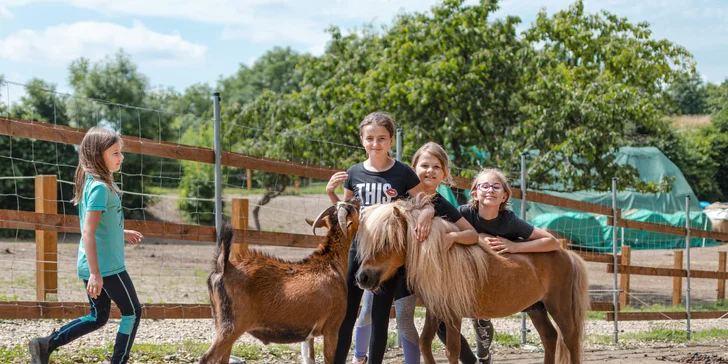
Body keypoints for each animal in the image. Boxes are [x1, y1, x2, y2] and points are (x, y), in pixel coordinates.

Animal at [199, 199, 362, 364]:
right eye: (351, 208)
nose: (356, 199)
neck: (330, 263)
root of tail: (223, 267)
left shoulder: (308, 334)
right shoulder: (332, 328)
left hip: (221, 321)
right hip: (232, 325)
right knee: (207, 357)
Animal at [356, 199, 588, 364]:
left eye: (387, 241)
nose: (362, 277)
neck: (443, 261)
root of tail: (566, 253)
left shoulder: (453, 315)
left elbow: (452, 351)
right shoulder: (435, 311)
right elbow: (424, 344)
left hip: (559, 307)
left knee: (570, 338)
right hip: (536, 308)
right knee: (550, 337)